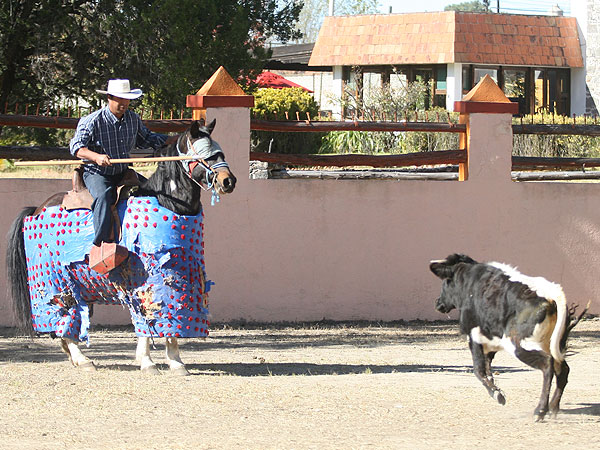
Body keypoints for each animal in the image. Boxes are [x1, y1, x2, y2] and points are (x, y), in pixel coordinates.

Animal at [7, 118, 237, 374]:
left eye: (220, 151)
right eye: (204, 154)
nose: (228, 181)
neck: (167, 200)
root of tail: (37, 208)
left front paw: (175, 361)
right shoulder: (142, 281)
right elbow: (147, 321)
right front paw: (148, 361)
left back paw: (74, 357)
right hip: (57, 282)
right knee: (66, 317)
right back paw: (83, 359)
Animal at [428, 255, 588, 420]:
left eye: (445, 282)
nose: (437, 302)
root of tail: (551, 294)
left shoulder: (474, 336)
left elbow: (478, 370)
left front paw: (497, 395)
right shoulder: (489, 342)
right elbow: (487, 370)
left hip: (518, 344)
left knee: (547, 365)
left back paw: (540, 411)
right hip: (551, 345)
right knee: (563, 369)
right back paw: (553, 408)